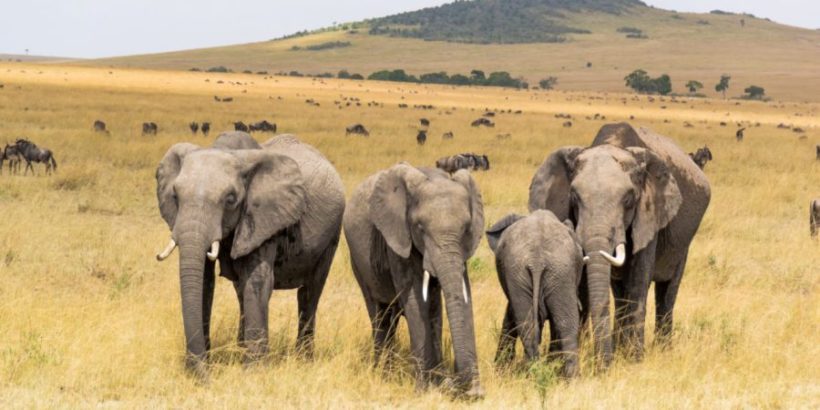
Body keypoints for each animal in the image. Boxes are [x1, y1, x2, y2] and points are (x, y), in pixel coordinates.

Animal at [155, 133, 344, 380]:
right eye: (175, 196)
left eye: (230, 199)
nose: (207, 378)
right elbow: (205, 282)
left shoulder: (263, 217)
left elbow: (257, 280)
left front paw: (254, 372)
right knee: (241, 292)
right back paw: (240, 348)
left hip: (332, 233)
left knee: (310, 291)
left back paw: (304, 359)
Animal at [342, 163, 484, 398]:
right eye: (420, 228)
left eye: (466, 228)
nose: (467, 390)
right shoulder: (398, 238)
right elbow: (416, 301)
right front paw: (425, 390)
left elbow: (461, 297)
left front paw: (457, 388)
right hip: (359, 264)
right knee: (380, 316)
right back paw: (383, 373)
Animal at [528, 123, 708, 366]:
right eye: (574, 198)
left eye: (629, 200)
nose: (603, 364)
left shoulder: (649, 214)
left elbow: (638, 280)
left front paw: (635, 360)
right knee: (620, 292)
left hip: (683, 242)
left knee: (667, 291)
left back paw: (662, 350)